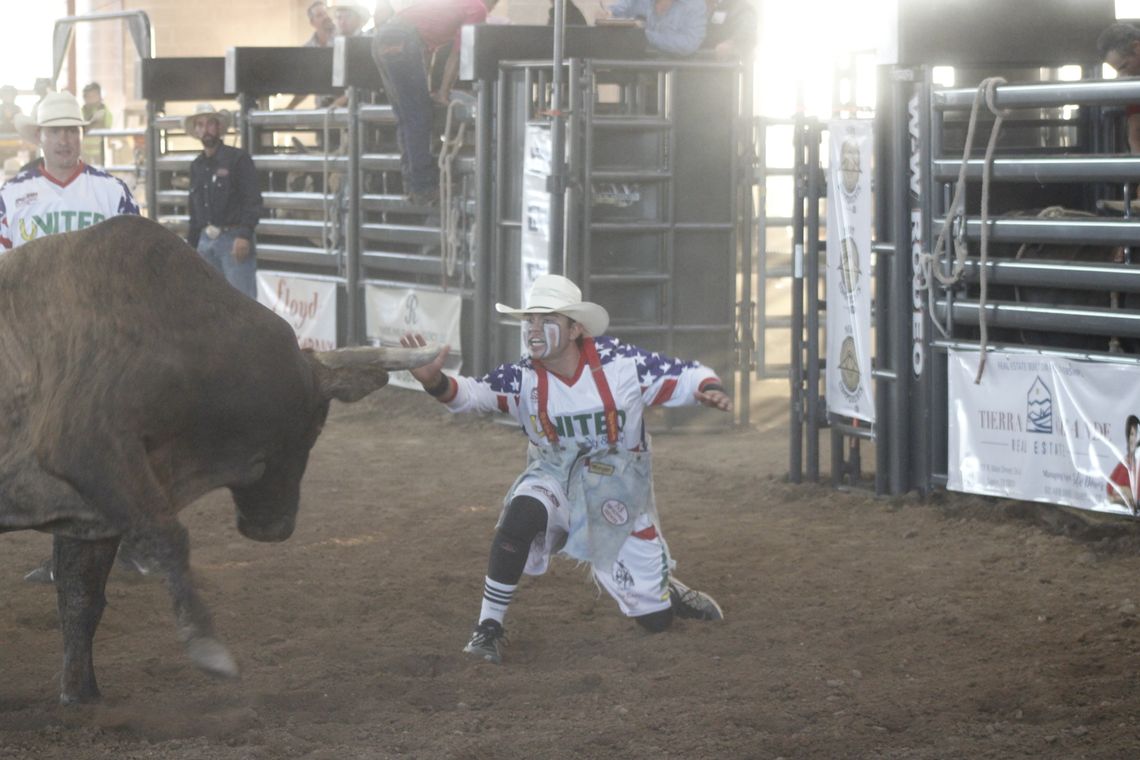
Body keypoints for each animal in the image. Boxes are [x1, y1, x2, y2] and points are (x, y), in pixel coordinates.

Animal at [0, 216, 435, 706]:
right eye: (315, 426)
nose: (275, 528)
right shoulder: (90, 452)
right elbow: (169, 537)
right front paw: (210, 650)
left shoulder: (91, 510)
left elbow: (80, 595)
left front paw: (82, 696)